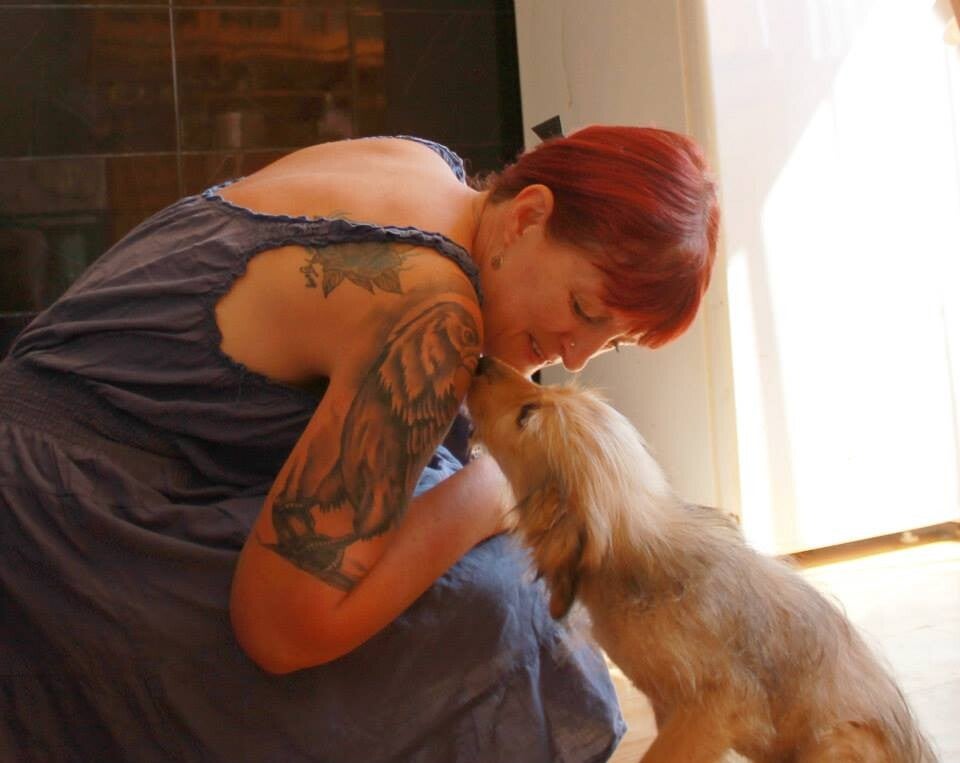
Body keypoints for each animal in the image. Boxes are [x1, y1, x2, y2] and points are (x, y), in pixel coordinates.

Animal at [467, 357, 936, 763]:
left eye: (527, 414)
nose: (482, 359)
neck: (637, 561)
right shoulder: (671, 707)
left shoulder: (718, 706)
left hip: (835, 744)